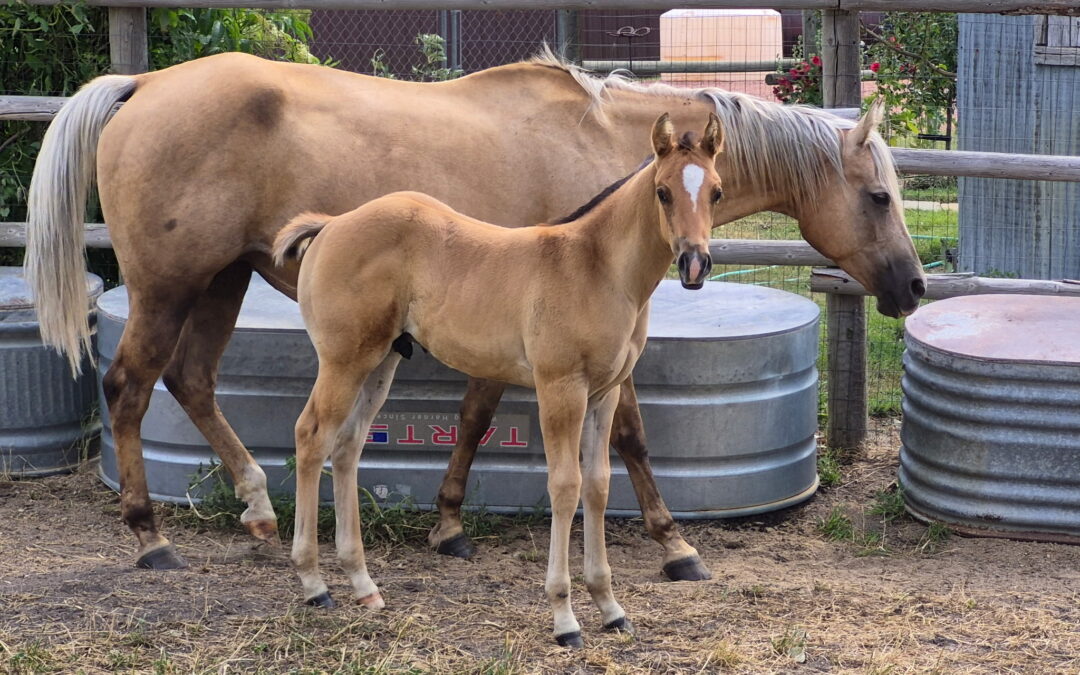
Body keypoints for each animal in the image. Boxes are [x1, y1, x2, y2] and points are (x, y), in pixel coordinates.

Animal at [26, 50, 924, 576]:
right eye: (880, 197)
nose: (913, 287)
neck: (611, 150)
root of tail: (145, 85)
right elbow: (630, 436)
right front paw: (675, 542)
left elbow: (475, 415)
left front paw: (450, 520)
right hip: (171, 286)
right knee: (130, 388)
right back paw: (150, 535)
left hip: (219, 281)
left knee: (194, 382)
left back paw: (256, 502)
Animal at [272, 112, 724, 647]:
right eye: (662, 192)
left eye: (716, 191)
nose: (694, 263)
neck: (597, 269)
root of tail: (332, 224)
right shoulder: (560, 388)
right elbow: (565, 486)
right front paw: (565, 618)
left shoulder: (604, 393)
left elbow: (597, 486)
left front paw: (610, 607)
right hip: (343, 360)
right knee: (311, 436)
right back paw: (314, 584)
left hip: (379, 362)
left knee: (348, 447)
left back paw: (363, 586)